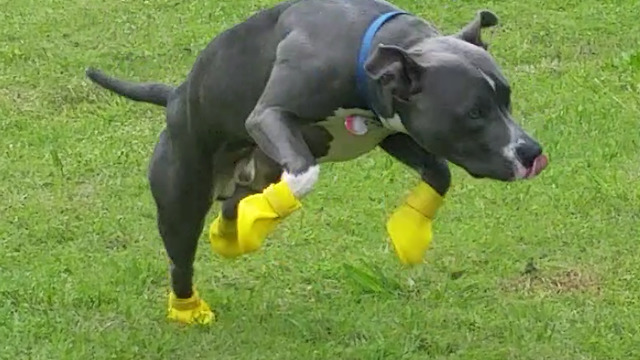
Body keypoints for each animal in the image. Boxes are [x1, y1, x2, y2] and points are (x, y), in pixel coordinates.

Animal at [86, 0, 552, 324]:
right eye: (473, 113)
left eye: (506, 97)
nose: (532, 153)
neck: (367, 50)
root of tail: (173, 96)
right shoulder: (268, 116)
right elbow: (307, 171)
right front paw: (264, 217)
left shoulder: (394, 132)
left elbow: (439, 172)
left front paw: (409, 232)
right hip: (181, 200)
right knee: (181, 261)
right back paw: (190, 307)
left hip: (255, 173)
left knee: (232, 203)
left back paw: (232, 233)